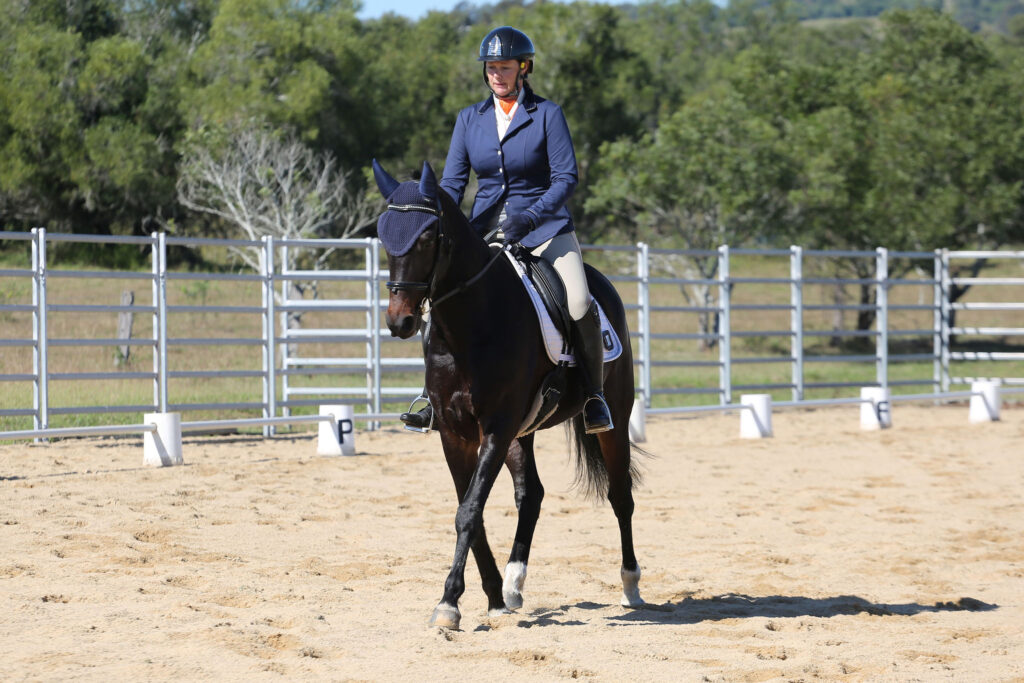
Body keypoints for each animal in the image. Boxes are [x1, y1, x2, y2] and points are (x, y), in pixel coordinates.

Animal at [372, 160, 643, 630]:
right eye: (384, 233)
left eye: (426, 237)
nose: (400, 321)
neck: (471, 324)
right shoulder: (456, 433)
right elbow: (471, 509)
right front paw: (491, 595)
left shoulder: (496, 428)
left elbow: (469, 510)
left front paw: (448, 602)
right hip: (523, 431)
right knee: (530, 495)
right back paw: (514, 585)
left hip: (613, 418)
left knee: (619, 494)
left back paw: (630, 586)